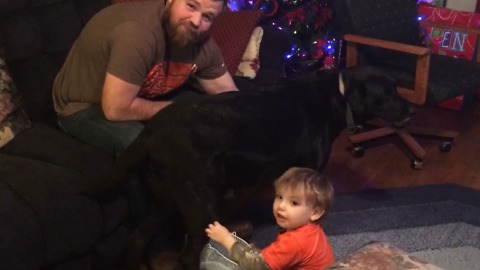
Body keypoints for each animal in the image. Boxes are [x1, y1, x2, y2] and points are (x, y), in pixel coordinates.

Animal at [93, 65, 412, 268]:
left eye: (397, 89)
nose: (412, 110)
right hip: (199, 203)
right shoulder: (310, 170)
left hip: (168, 200)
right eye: (386, 94)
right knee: (188, 254)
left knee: (136, 240)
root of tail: (151, 131)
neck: (339, 93)